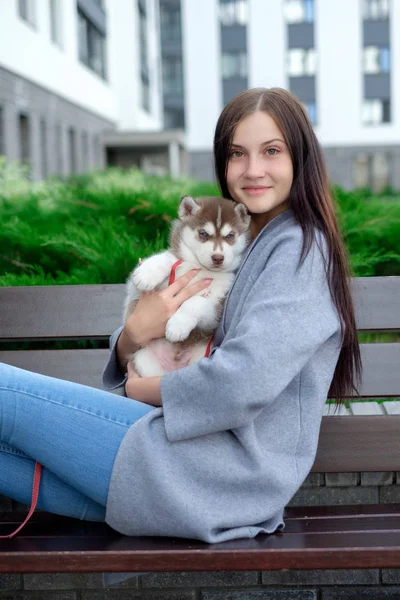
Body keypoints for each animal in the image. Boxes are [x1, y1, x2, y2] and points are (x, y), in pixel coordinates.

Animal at [123, 196, 252, 376]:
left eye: (230, 235)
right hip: (144, 360)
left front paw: (177, 326)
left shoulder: (215, 310)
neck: (199, 269)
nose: (218, 258)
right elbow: (166, 259)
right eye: (203, 234)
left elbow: (195, 302)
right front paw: (147, 274)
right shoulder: (146, 290)